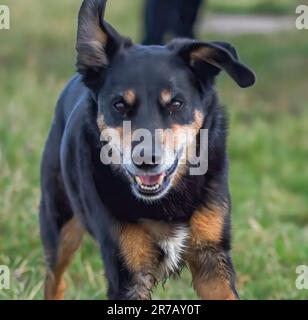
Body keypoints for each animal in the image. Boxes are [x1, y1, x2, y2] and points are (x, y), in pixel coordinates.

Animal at [39, 0, 255, 300]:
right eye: (119, 105)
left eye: (176, 103)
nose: (146, 159)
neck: (166, 202)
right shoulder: (129, 269)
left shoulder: (212, 257)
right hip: (59, 223)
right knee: (54, 278)